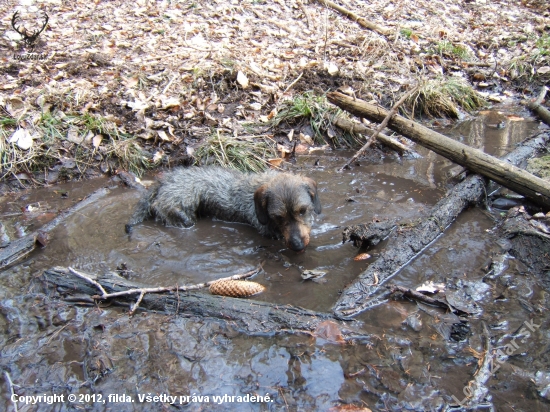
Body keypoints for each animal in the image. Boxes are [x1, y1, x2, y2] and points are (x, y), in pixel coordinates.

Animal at [125, 167, 324, 251]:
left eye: (303, 210)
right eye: (278, 217)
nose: (297, 246)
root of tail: (165, 179)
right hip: (185, 196)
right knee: (159, 206)